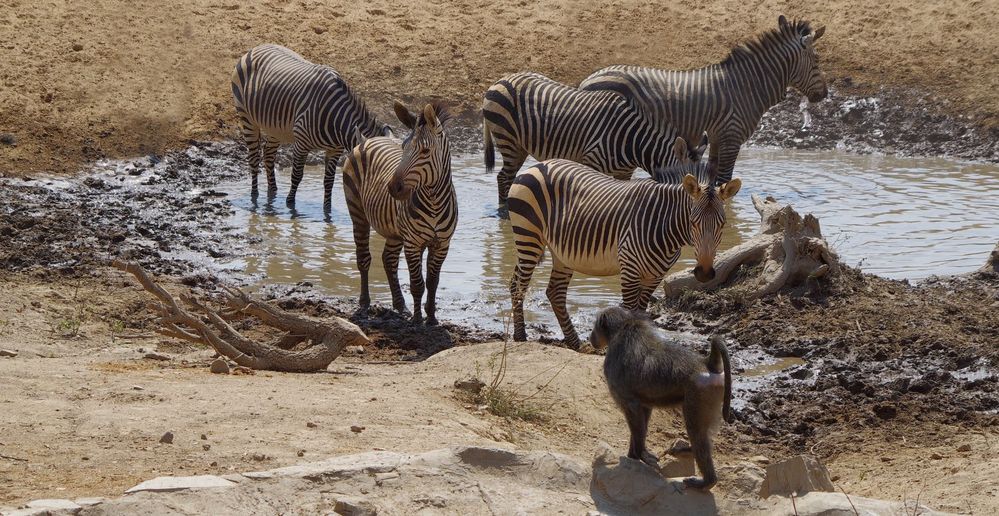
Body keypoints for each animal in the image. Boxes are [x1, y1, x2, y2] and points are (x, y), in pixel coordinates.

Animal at [232, 43, 392, 210]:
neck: (335, 118)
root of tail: (258, 47)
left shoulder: (335, 150)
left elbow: (329, 181)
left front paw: (327, 210)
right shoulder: (301, 144)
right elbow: (297, 176)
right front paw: (290, 205)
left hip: (274, 126)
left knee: (268, 153)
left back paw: (273, 192)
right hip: (246, 117)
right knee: (254, 157)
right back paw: (254, 196)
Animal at [342, 102, 456, 324]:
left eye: (425, 151)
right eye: (403, 148)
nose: (393, 188)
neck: (435, 202)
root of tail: (367, 140)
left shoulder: (441, 244)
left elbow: (433, 282)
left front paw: (431, 318)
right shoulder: (412, 243)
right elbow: (417, 284)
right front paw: (418, 321)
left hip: (394, 230)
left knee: (389, 260)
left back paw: (400, 305)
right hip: (358, 213)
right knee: (364, 258)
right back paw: (365, 303)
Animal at [482, 71, 704, 208]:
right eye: (689, 184)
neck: (633, 141)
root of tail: (500, 80)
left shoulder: (624, 172)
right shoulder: (592, 161)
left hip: (519, 146)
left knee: (506, 177)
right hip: (507, 139)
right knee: (503, 178)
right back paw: (505, 213)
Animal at [508, 139, 744, 348]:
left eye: (722, 224)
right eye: (693, 222)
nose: (704, 273)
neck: (664, 225)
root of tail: (539, 165)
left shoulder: (655, 275)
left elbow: (640, 312)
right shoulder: (630, 269)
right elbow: (630, 311)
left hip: (561, 252)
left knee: (555, 292)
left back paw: (575, 343)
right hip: (528, 235)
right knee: (518, 285)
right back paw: (520, 336)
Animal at [580, 15, 828, 184]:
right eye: (816, 61)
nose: (824, 95)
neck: (747, 86)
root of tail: (587, 80)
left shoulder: (718, 138)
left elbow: (714, 179)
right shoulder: (731, 137)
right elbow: (724, 181)